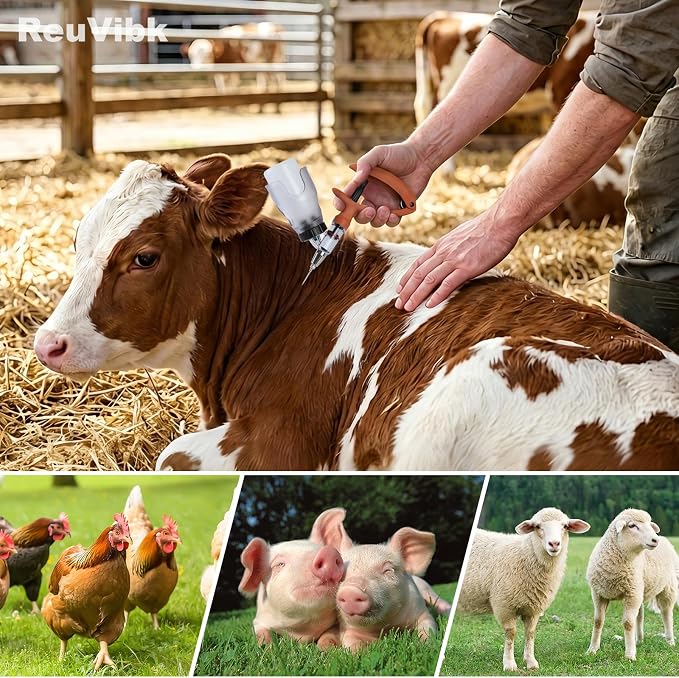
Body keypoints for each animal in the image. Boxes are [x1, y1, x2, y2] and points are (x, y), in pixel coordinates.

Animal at [238, 509, 345, 648]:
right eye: (279, 564)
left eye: (321, 549)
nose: (329, 553)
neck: (301, 630)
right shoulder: (258, 620)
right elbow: (261, 633)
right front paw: (268, 648)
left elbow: (330, 633)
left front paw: (325, 648)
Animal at [457, 507, 590, 672]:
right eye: (538, 526)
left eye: (565, 526)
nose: (554, 544)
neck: (526, 554)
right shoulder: (504, 605)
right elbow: (511, 633)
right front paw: (509, 664)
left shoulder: (534, 608)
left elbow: (530, 633)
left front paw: (531, 662)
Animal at [586, 508, 678, 661]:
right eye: (632, 526)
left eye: (649, 524)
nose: (655, 540)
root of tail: (665, 539)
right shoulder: (599, 594)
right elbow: (598, 621)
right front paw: (592, 649)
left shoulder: (631, 594)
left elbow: (628, 623)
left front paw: (629, 655)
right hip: (640, 589)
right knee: (640, 616)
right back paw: (638, 640)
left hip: (667, 588)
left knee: (667, 614)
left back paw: (670, 641)